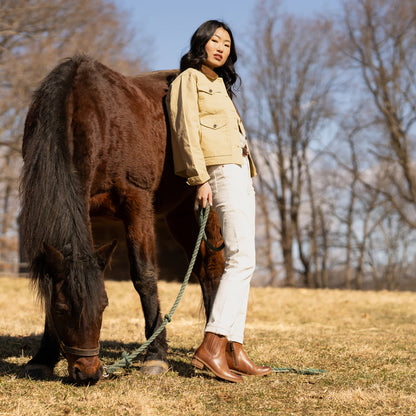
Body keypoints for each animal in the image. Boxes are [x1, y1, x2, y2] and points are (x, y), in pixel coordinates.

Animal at [19, 54, 224, 384]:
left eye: (104, 305)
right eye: (61, 308)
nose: (88, 372)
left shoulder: (136, 202)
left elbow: (144, 275)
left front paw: (156, 356)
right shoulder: (83, 207)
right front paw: (43, 357)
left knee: (215, 266)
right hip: (181, 213)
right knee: (203, 267)